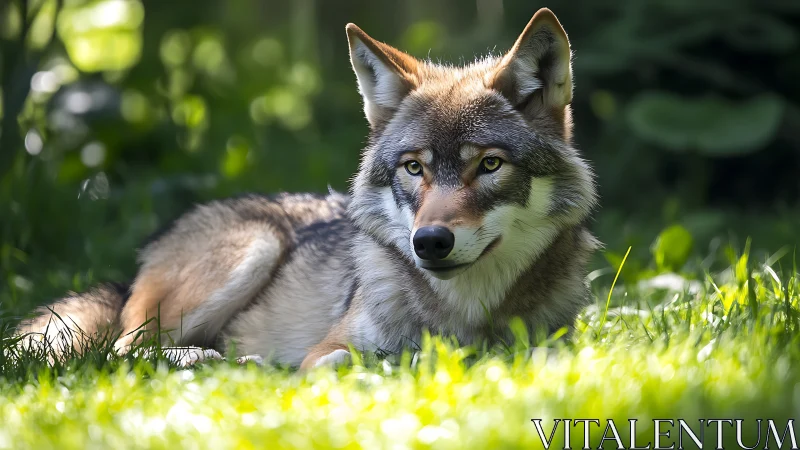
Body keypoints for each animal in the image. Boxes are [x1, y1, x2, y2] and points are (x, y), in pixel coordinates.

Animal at [17, 8, 598, 369]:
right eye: (414, 169)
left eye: (490, 164)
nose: (429, 242)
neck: (463, 316)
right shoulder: (327, 347)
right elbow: (341, 359)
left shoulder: (555, 345)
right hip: (254, 247)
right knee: (121, 352)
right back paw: (217, 362)